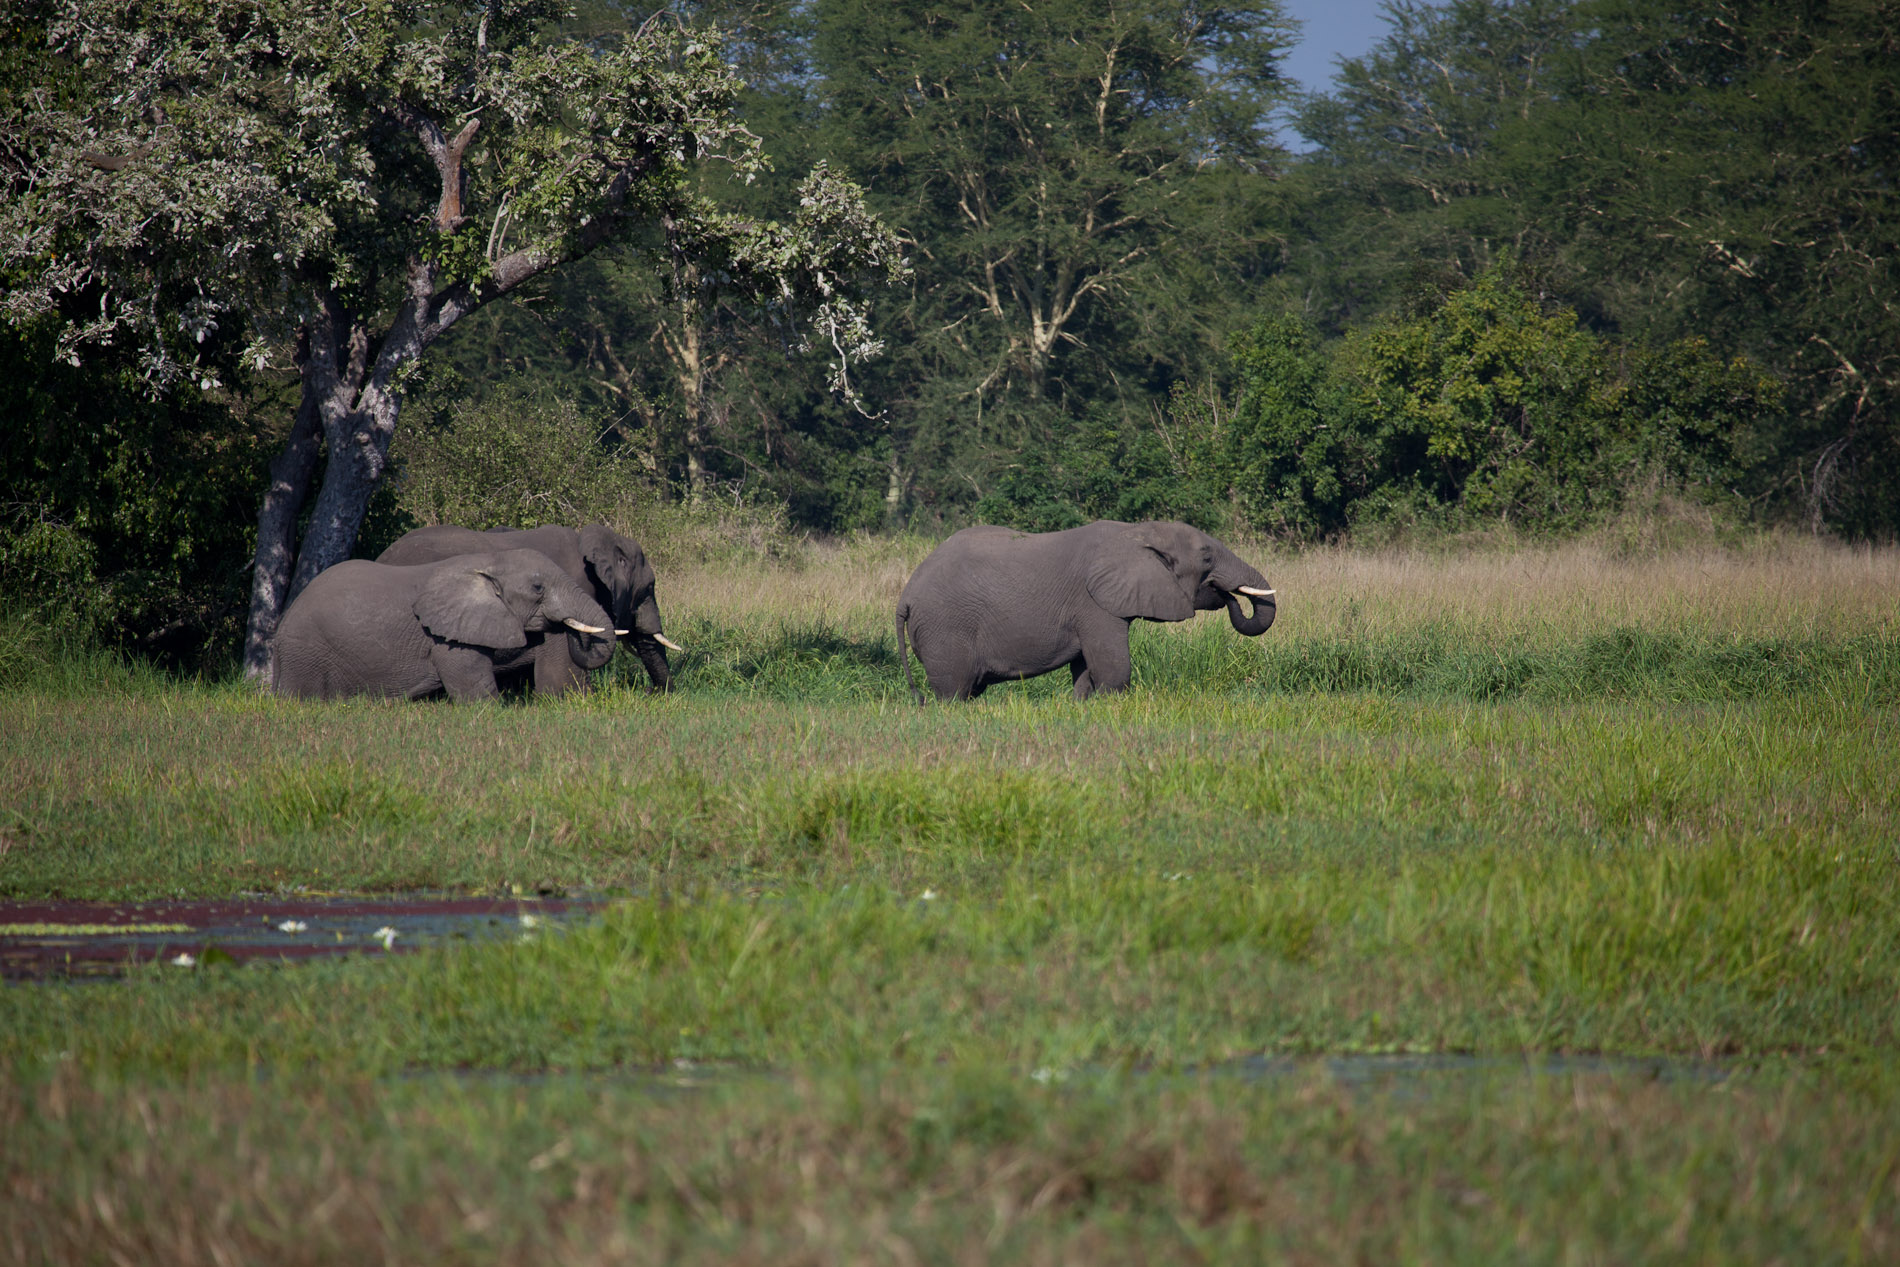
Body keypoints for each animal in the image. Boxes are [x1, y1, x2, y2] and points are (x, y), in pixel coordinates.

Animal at [264, 547, 608, 702]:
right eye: (538, 588)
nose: (568, 626)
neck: (489, 561)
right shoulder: (451, 640)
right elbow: (477, 695)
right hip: (307, 654)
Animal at [893, 524, 1276, 710]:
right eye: (1207, 558)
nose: (1227, 593)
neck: (1137, 531)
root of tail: (905, 597)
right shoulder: (1095, 605)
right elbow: (1113, 669)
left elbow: (1085, 671)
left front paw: (1081, 706)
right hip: (946, 628)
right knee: (953, 693)